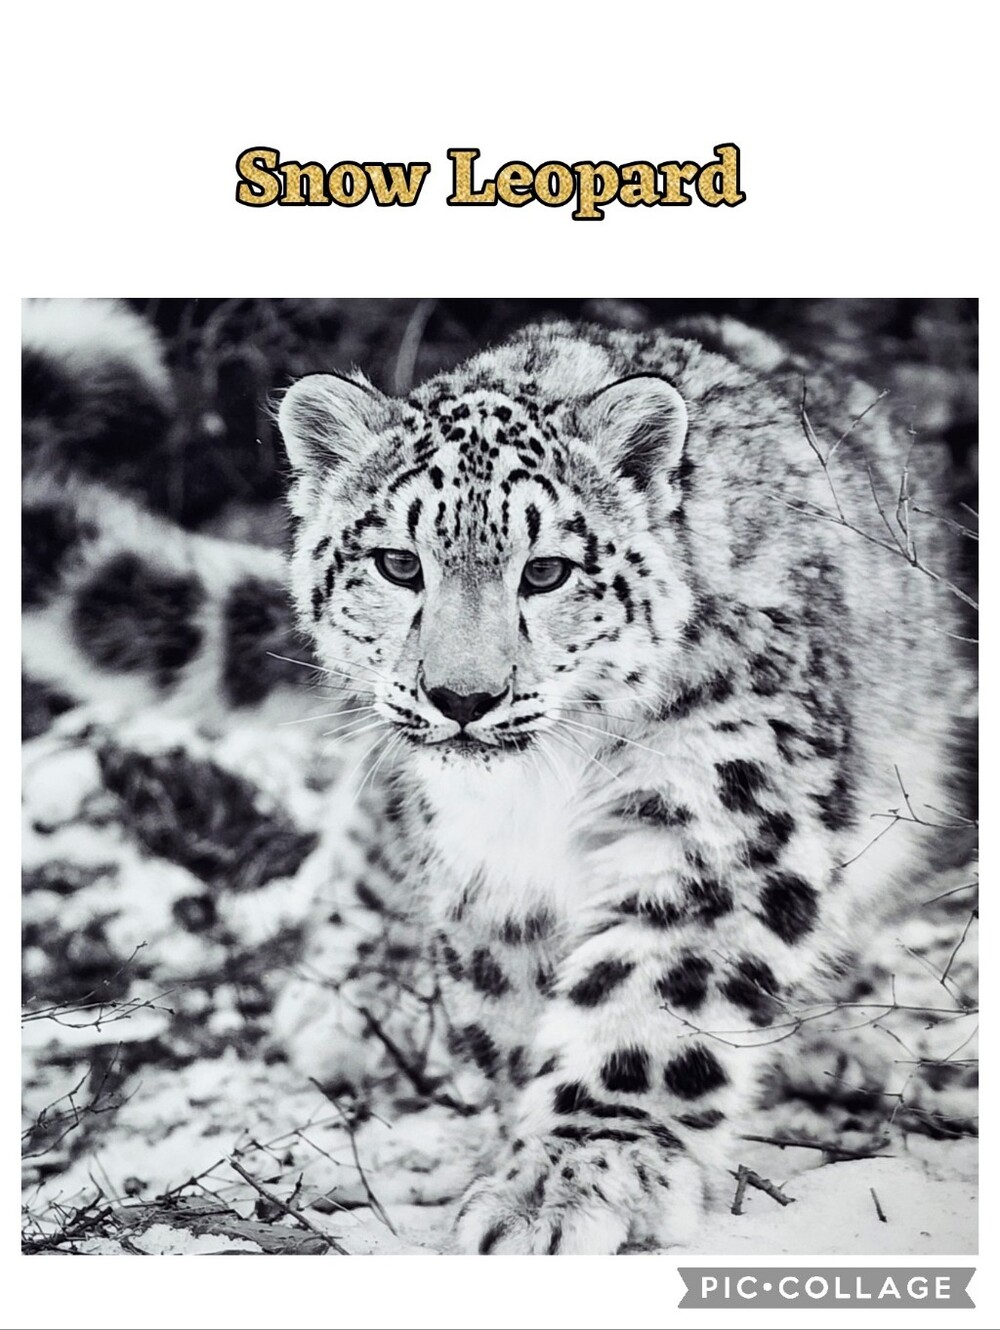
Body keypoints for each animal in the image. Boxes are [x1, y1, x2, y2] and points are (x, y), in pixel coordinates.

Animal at [21, 298, 975, 1254]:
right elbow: (509, 1001)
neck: (543, 791)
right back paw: (348, 999)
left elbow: (655, 991)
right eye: (398, 564)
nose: (462, 697)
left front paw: (576, 1172)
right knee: (371, 826)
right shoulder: (488, 868)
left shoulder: (719, 810)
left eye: (546, 570)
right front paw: (529, 1157)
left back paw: (838, 1043)